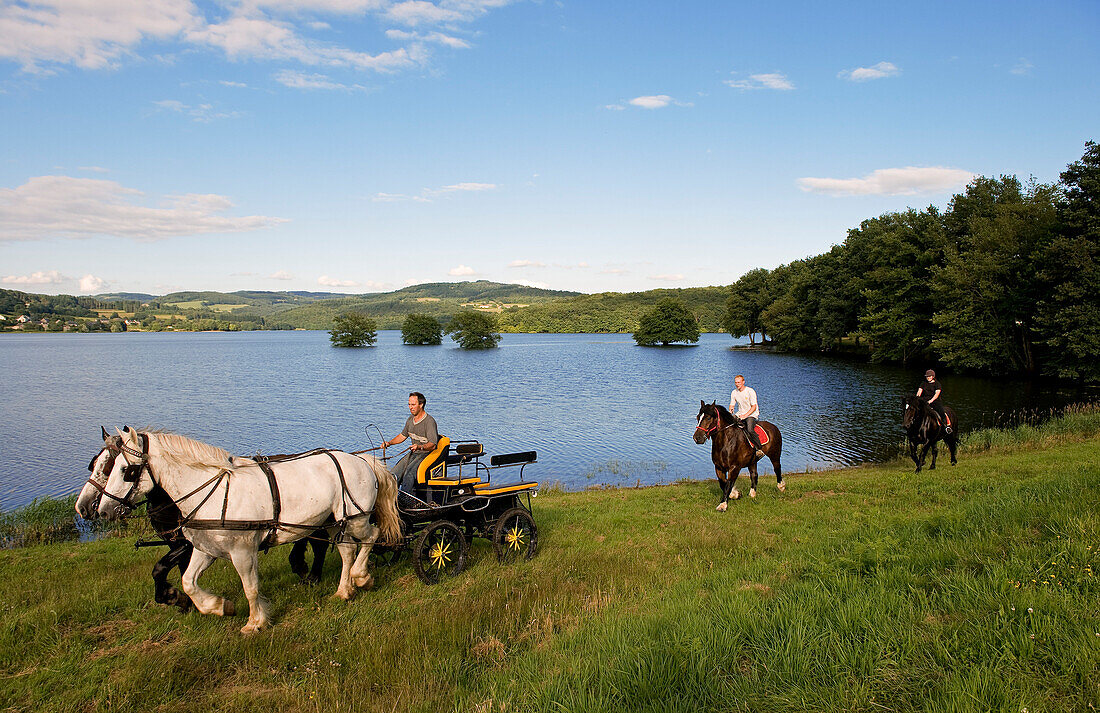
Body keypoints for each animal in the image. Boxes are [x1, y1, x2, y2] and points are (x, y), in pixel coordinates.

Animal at [97, 426, 400, 633]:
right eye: (108, 466)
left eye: (125, 470)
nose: (102, 510)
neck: (213, 492)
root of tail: (361, 460)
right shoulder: (205, 549)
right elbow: (188, 582)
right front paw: (218, 606)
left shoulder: (243, 551)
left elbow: (251, 587)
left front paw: (255, 622)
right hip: (337, 520)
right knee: (347, 551)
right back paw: (344, 590)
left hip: (357, 518)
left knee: (371, 538)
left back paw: (362, 577)